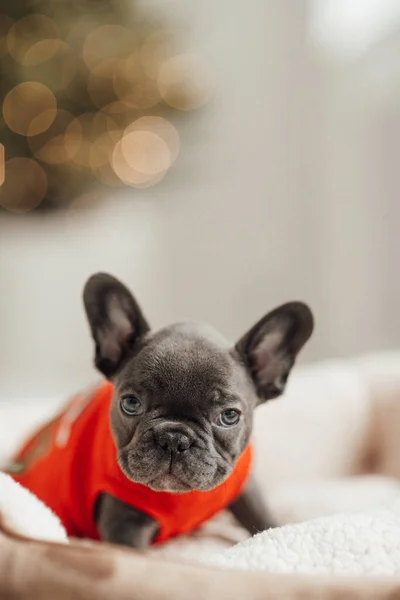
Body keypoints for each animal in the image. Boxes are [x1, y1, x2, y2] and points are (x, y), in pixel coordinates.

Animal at [5, 274, 312, 548]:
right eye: (131, 404)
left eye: (229, 416)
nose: (174, 439)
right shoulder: (124, 524)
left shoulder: (245, 486)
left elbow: (262, 517)